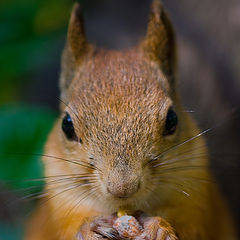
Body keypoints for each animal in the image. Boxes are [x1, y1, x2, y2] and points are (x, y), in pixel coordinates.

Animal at [23, 0, 236, 240]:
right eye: (66, 125)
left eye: (172, 119)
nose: (122, 188)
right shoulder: (60, 203)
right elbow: (64, 228)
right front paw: (89, 228)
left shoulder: (197, 198)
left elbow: (194, 227)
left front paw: (158, 227)